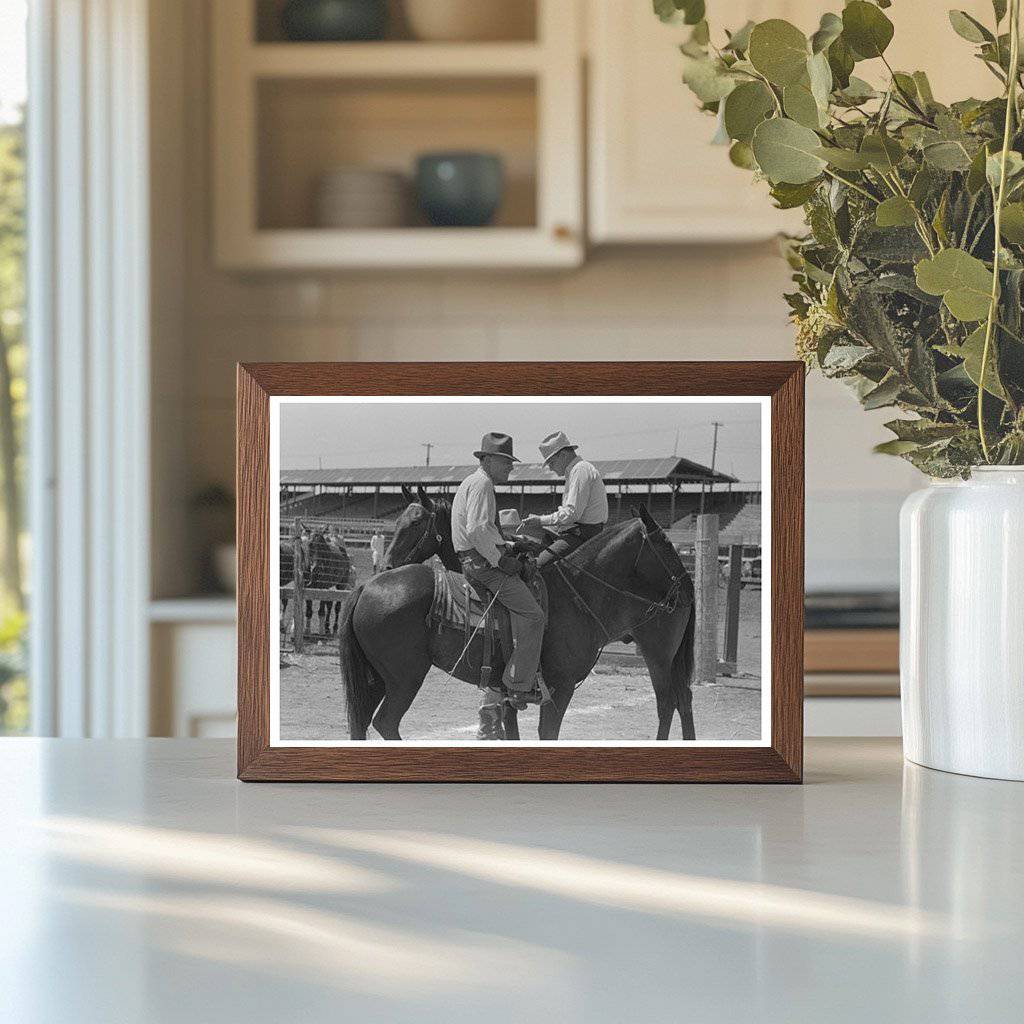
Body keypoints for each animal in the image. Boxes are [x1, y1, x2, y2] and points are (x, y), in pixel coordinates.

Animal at [342, 489, 696, 741]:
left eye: (416, 523)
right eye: (667, 544)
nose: (689, 586)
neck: (578, 591)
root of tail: (367, 586)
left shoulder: (532, 689)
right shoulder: (556, 688)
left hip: (659, 653)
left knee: (672, 701)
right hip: (401, 678)